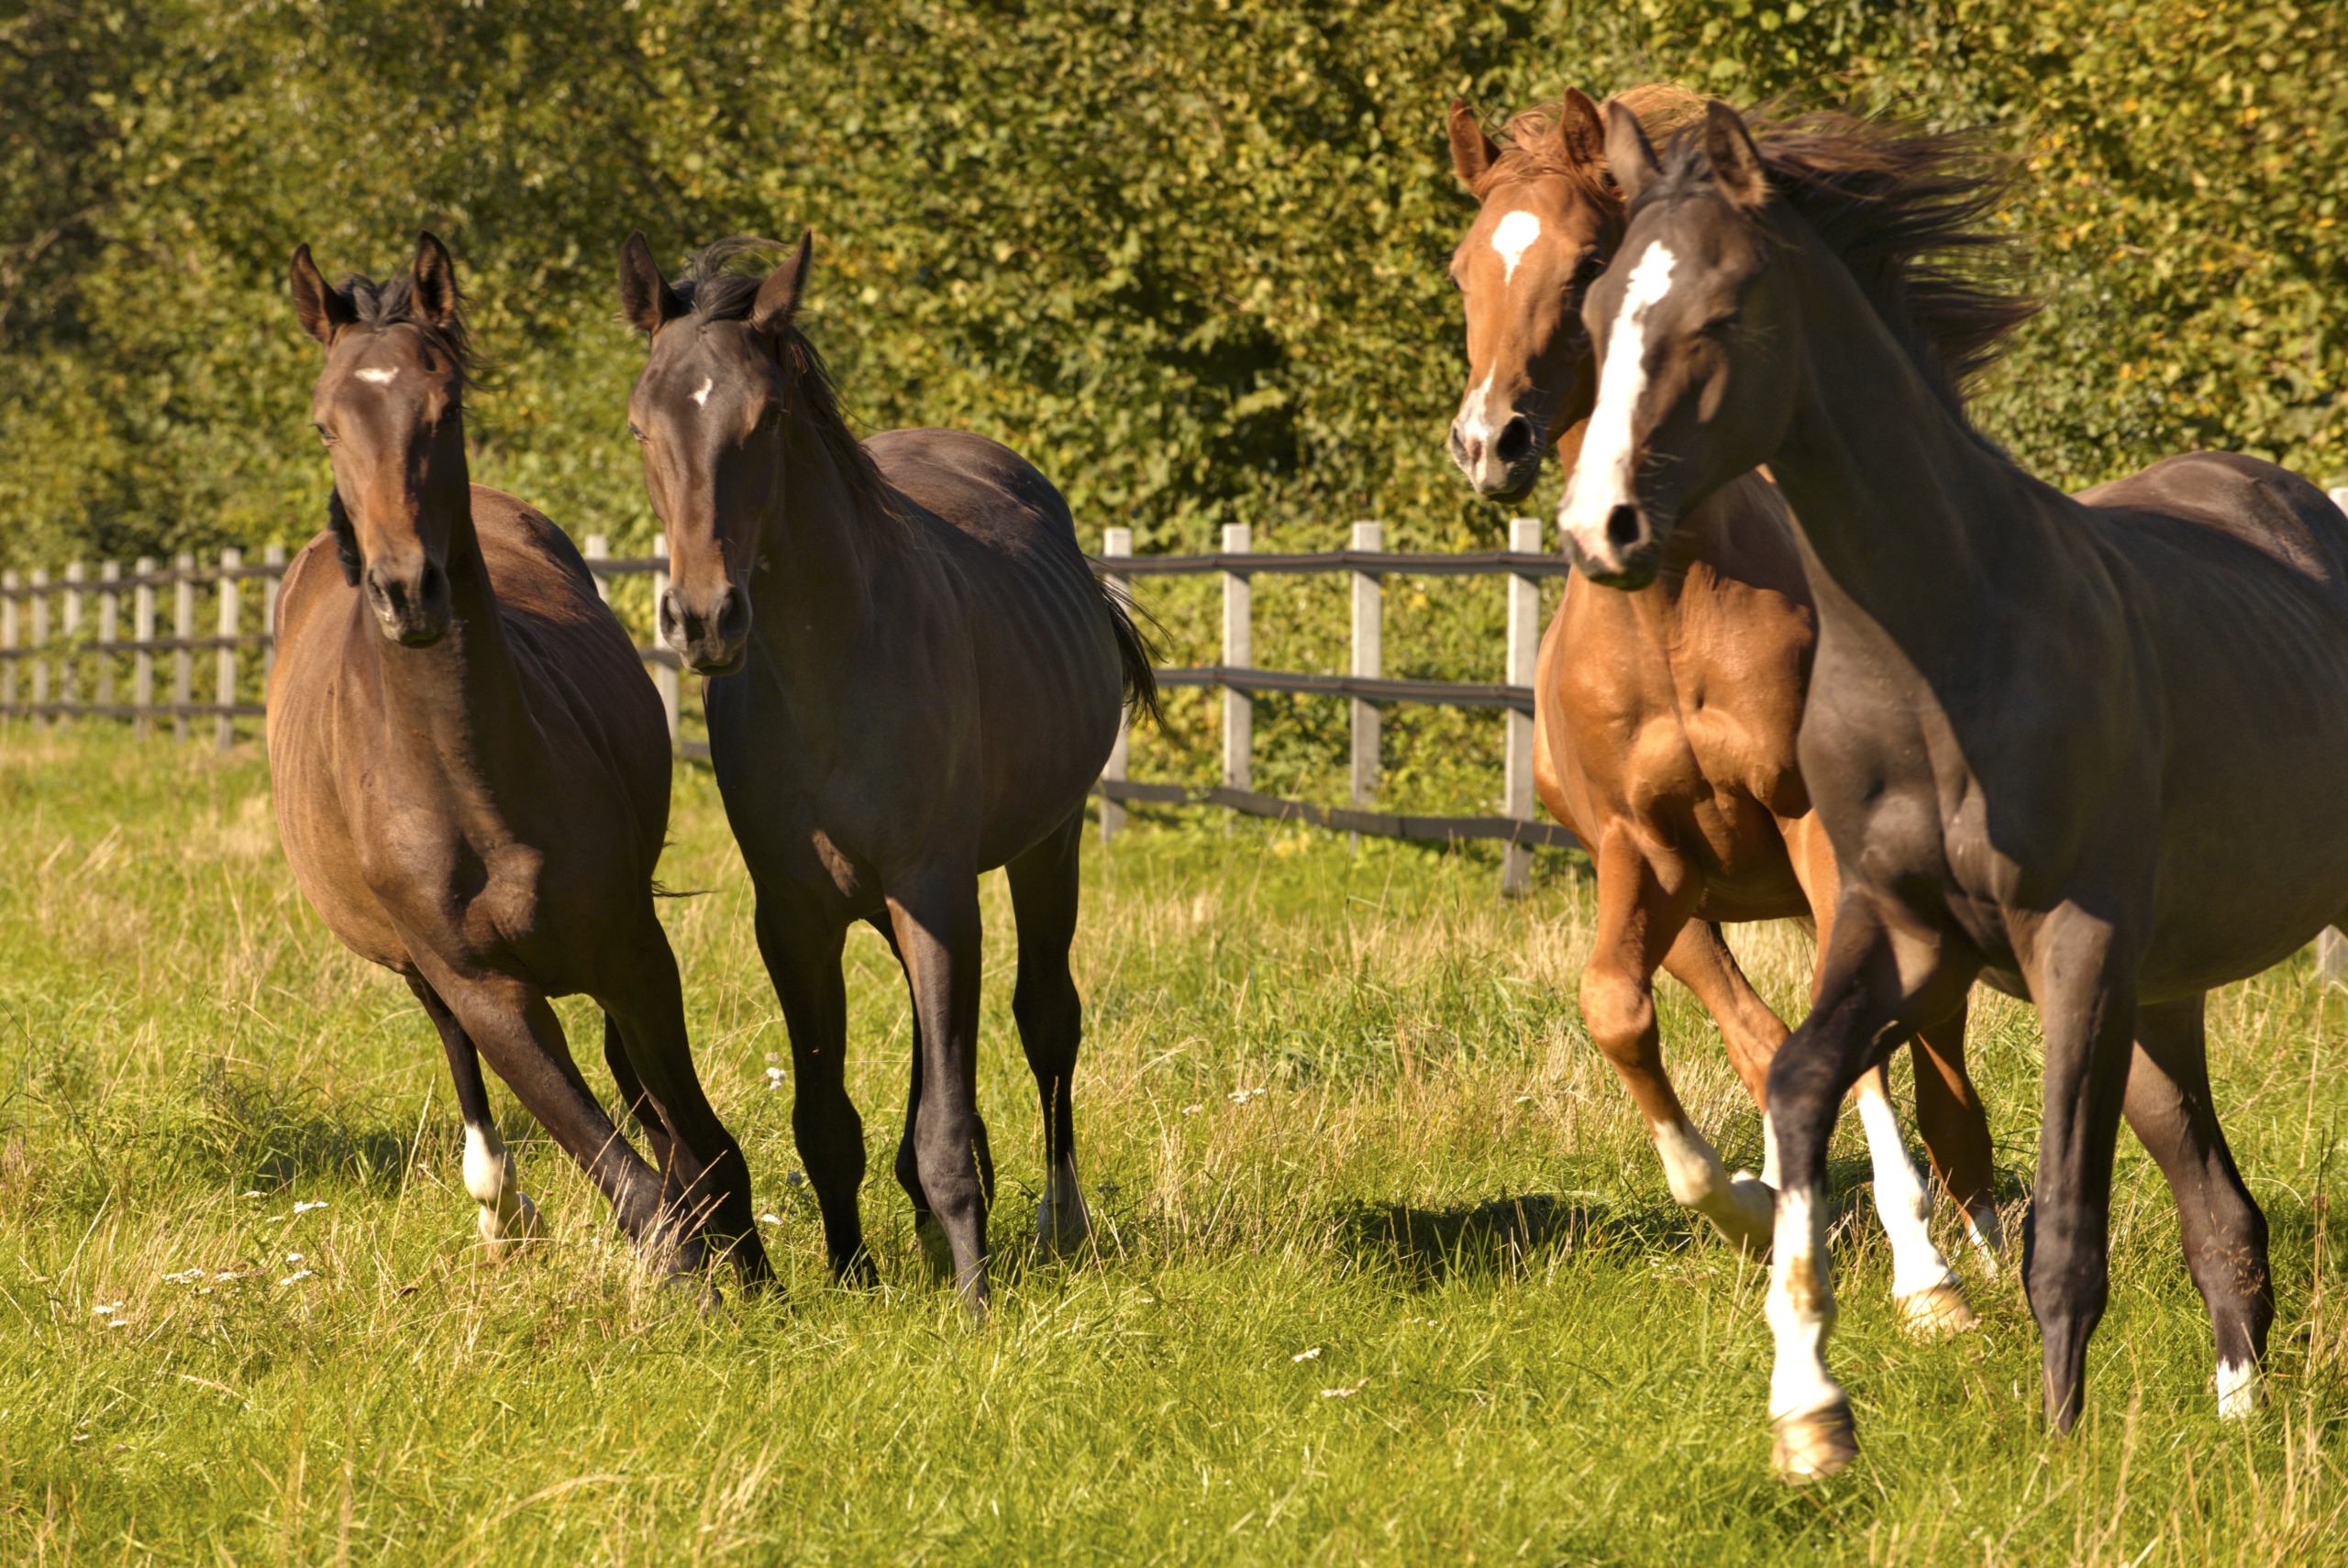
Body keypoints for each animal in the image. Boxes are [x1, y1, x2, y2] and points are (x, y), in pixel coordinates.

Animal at [274, 232, 765, 1286]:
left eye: (444, 408)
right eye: (326, 424)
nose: (407, 592)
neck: (469, 787)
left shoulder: (632, 947)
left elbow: (696, 1140)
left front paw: (753, 1275)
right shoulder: (488, 991)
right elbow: (630, 1182)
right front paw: (697, 1282)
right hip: (425, 971)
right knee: (461, 1054)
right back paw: (502, 1210)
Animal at [610, 229, 1150, 1314]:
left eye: (766, 416)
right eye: (643, 422)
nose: (703, 619)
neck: (832, 672)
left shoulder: (935, 892)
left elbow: (945, 1116)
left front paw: (975, 1302)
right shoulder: (795, 921)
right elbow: (826, 1121)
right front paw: (852, 1277)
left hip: (1046, 848)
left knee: (1047, 1023)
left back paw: (1056, 1221)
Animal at [1445, 85, 2000, 1333]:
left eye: (1588, 264)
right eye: (1462, 268)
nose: (1490, 442)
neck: (1671, 619)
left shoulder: (1814, 831)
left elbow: (1864, 1054)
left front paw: (1926, 1279)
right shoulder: (1635, 850)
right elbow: (1617, 1009)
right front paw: (1744, 1207)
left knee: (1940, 1074)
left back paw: (1984, 1243)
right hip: (1698, 908)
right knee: (1757, 1040)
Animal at [1558, 101, 2329, 1483]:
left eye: (1721, 315)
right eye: (1595, 317)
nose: (1604, 529)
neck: (1951, 637)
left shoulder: (2074, 945)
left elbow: (2063, 1225)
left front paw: (2061, 1453)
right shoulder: (1902, 929)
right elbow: (1801, 1080)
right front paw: (1811, 1412)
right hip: (2164, 993)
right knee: (2220, 1213)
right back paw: (2240, 1416)